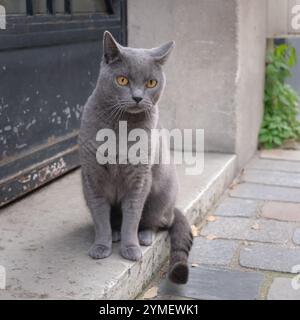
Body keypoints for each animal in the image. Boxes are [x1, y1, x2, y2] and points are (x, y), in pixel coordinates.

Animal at [78, 31, 193, 284]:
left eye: (151, 83)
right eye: (122, 80)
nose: (138, 97)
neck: (121, 127)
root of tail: (174, 208)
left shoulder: (139, 179)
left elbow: (132, 216)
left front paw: (131, 249)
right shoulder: (93, 177)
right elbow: (100, 217)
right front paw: (101, 246)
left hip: (162, 194)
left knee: (156, 222)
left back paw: (144, 237)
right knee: (113, 220)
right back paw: (114, 234)